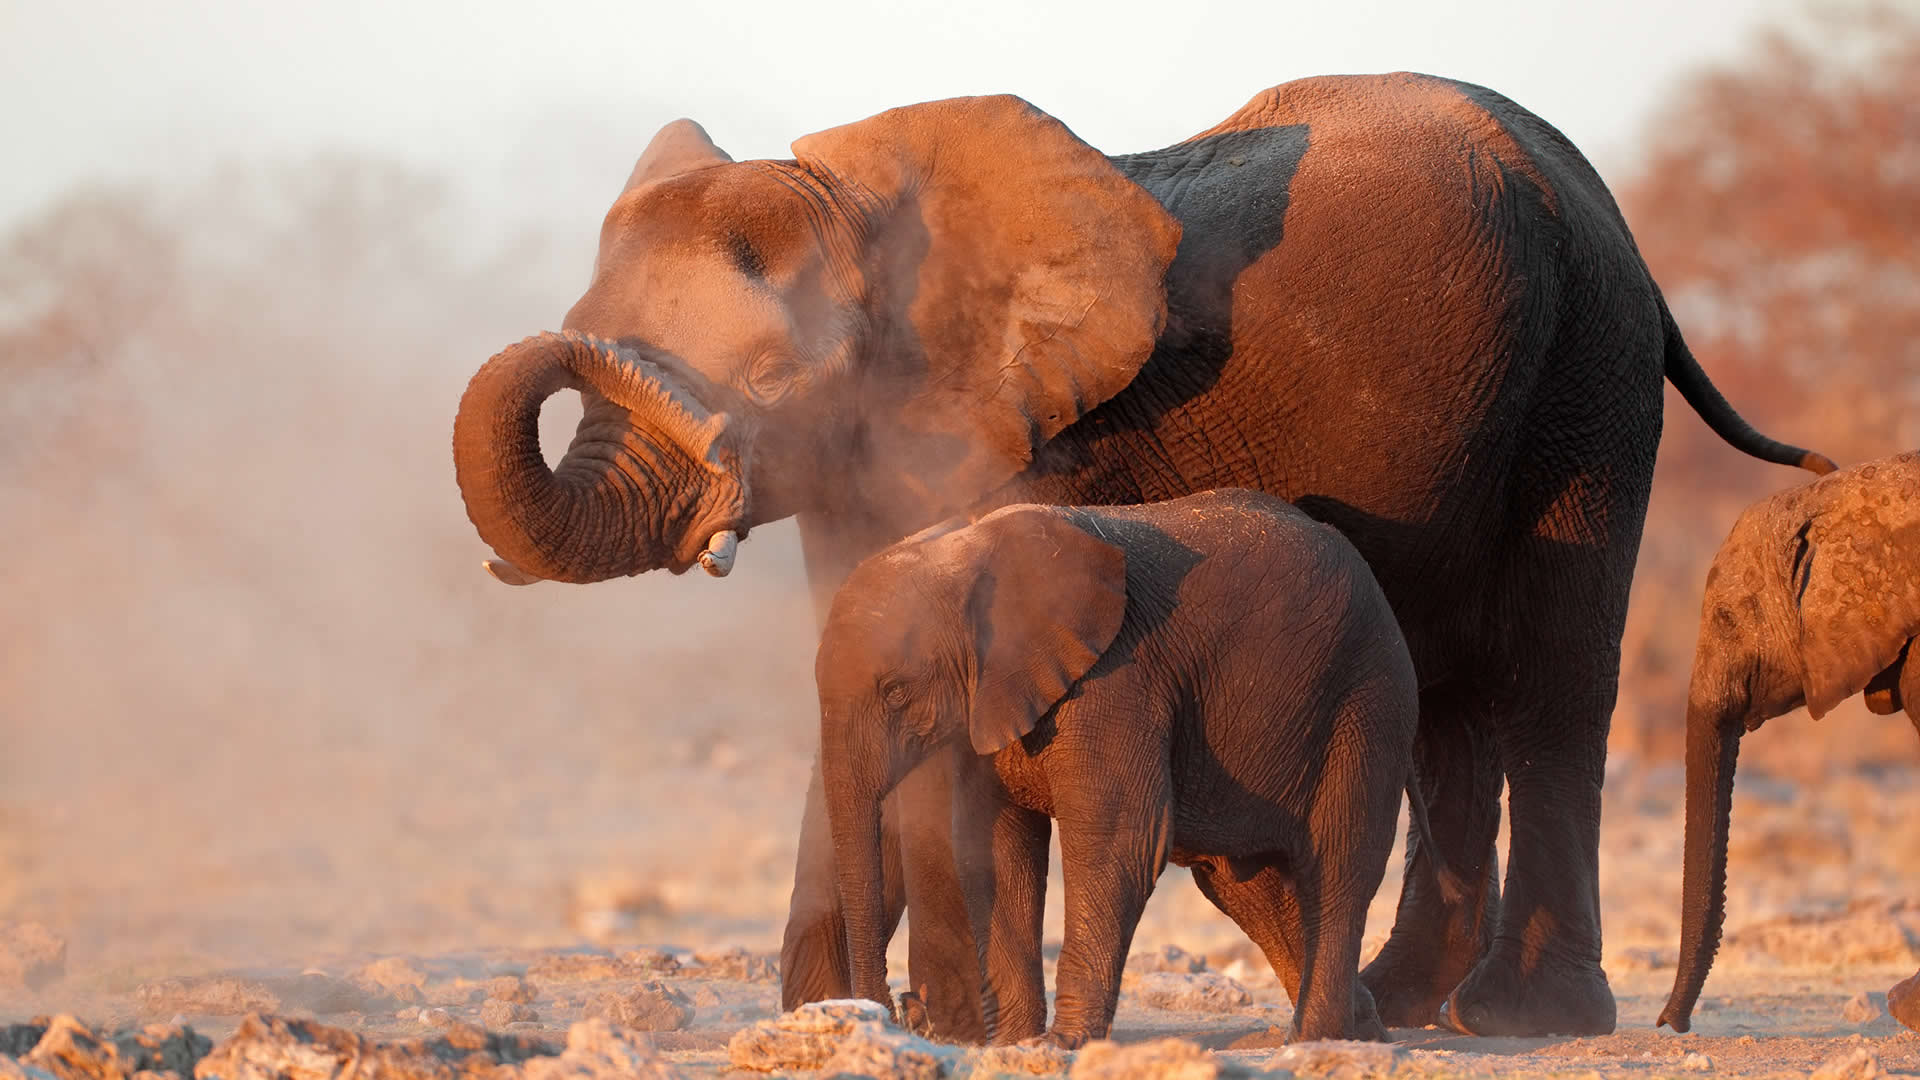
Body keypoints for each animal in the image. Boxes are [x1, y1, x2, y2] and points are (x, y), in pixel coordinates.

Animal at [810, 486, 1428, 1045]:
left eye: (895, 692)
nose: (903, 1011)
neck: (963, 551)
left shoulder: (1117, 680)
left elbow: (1121, 841)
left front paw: (1060, 1045)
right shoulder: (990, 704)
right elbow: (997, 851)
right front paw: (1012, 1044)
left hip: (1368, 701)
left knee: (1337, 865)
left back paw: (1314, 1041)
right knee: (1246, 890)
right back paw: (1363, 1032)